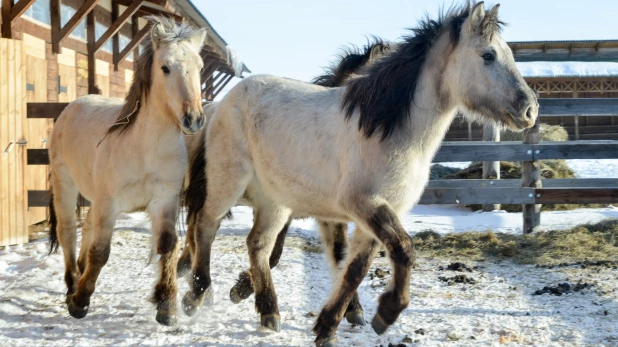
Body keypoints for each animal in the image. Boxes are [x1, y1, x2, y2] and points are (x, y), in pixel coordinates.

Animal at [47, 15, 207, 326]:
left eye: (200, 67)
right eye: (165, 67)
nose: (193, 119)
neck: (144, 148)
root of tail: (72, 107)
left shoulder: (164, 201)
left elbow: (167, 245)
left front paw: (166, 306)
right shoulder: (109, 203)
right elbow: (101, 252)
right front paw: (80, 302)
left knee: (86, 226)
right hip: (65, 184)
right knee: (68, 230)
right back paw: (72, 284)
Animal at [178, 38, 390, 328]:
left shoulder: (328, 217)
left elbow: (339, 254)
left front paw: (353, 309)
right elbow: (273, 252)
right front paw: (243, 290)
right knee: (199, 230)